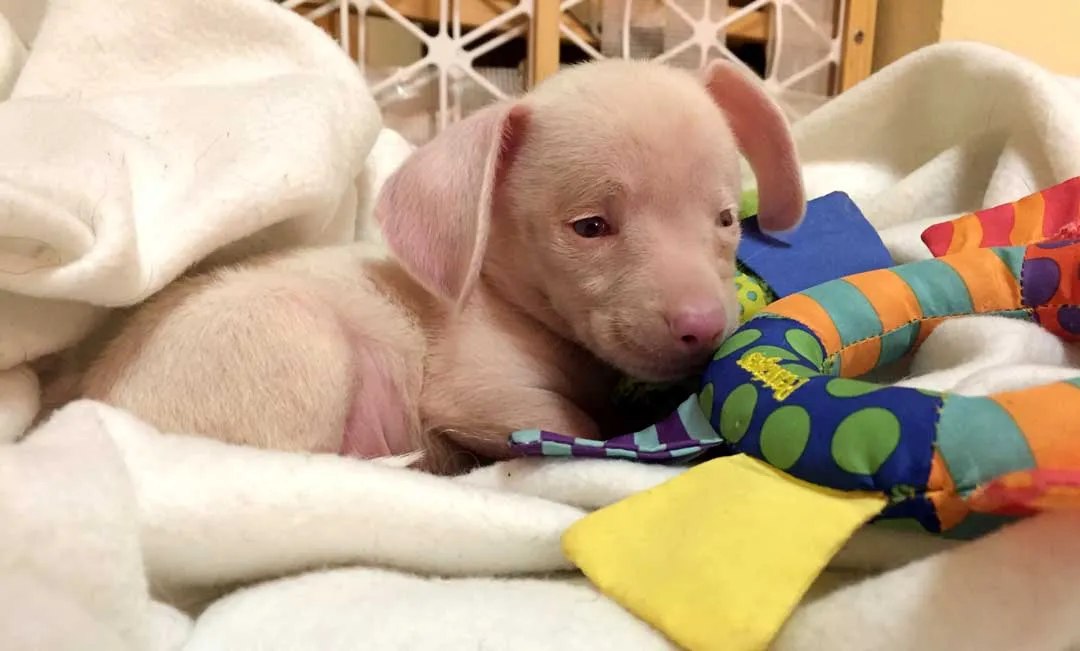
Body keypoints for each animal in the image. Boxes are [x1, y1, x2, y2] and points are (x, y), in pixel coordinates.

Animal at [72, 58, 804, 474]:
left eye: (725, 219)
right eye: (590, 227)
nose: (704, 327)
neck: (506, 300)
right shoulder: (479, 393)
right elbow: (575, 426)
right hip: (295, 345)